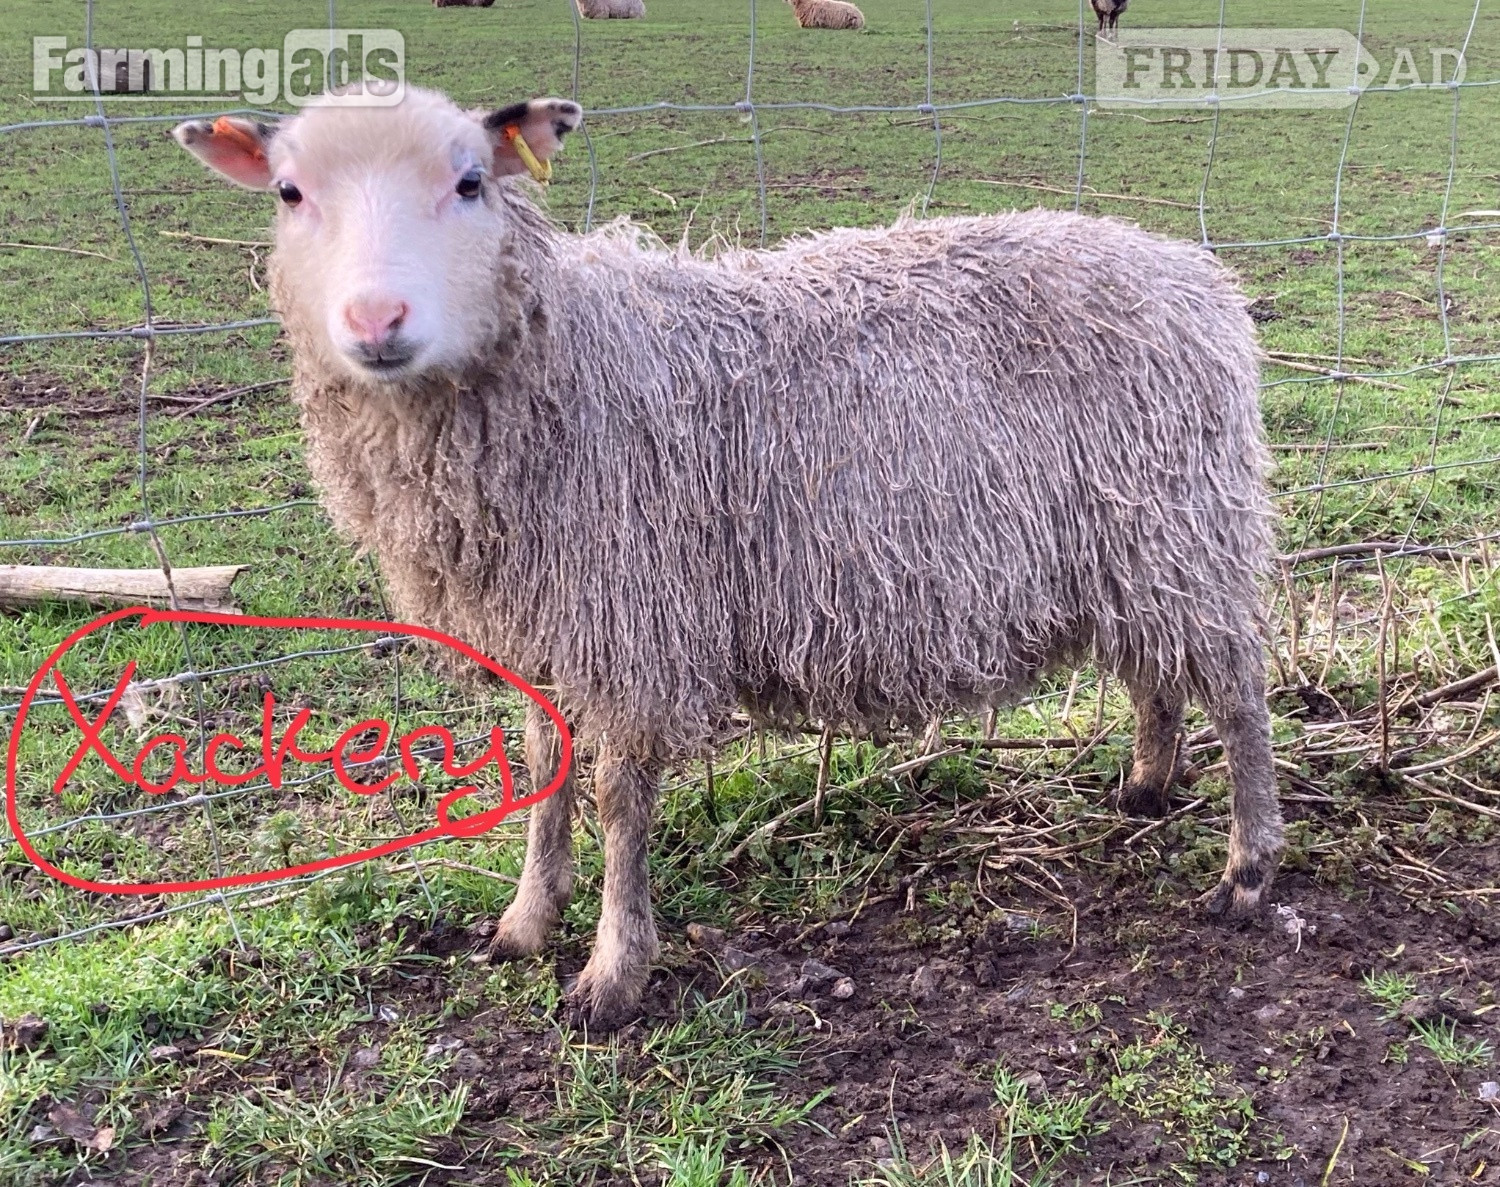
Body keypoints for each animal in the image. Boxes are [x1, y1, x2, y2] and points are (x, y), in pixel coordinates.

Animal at [172, 87, 1282, 1031]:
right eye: (290, 192)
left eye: (471, 181)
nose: (377, 321)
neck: (562, 367)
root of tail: (1193, 275)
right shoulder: (545, 623)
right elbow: (542, 766)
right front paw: (526, 923)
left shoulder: (634, 620)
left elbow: (621, 799)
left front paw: (612, 973)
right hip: (1132, 545)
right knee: (1154, 672)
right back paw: (1145, 785)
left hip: (1187, 526)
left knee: (1236, 689)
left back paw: (1247, 867)